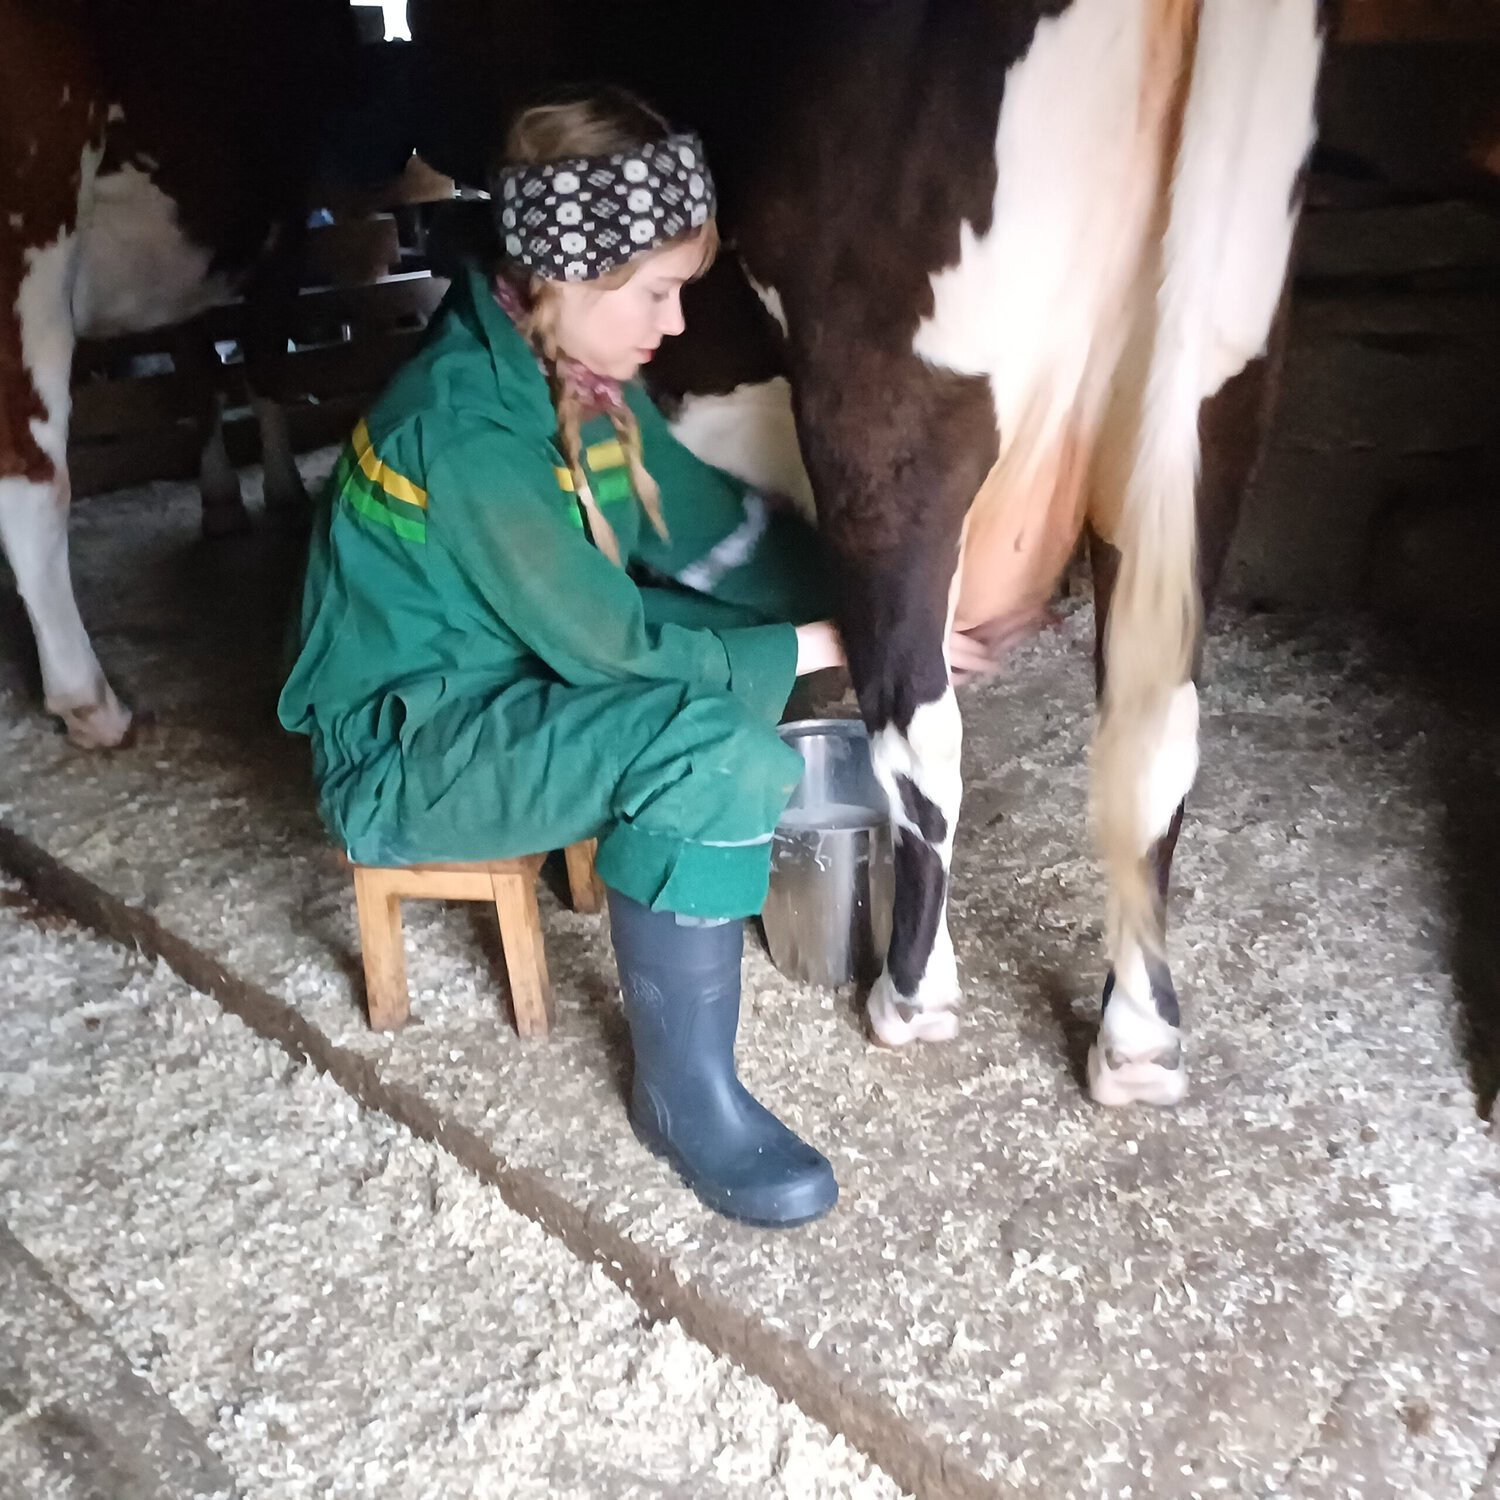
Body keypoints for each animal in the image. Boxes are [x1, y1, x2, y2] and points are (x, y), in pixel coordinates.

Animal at [0, 0, 365, 749]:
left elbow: (200, 372)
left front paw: (222, 499)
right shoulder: (285, 222)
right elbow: (264, 361)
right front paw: (284, 492)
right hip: (34, 245)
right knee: (29, 480)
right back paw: (89, 700)